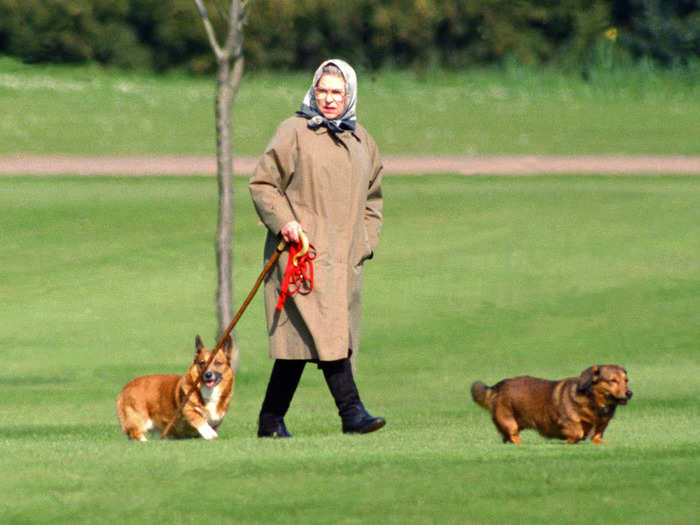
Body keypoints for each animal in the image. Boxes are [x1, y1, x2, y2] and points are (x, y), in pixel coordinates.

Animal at [474, 364, 632, 442]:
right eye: (613, 380)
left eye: (626, 380)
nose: (630, 393)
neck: (594, 402)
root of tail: (498, 386)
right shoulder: (566, 421)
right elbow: (578, 432)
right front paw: (568, 441)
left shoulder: (600, 429)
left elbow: (597, 437)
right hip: (509, 422)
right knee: (513, 436)